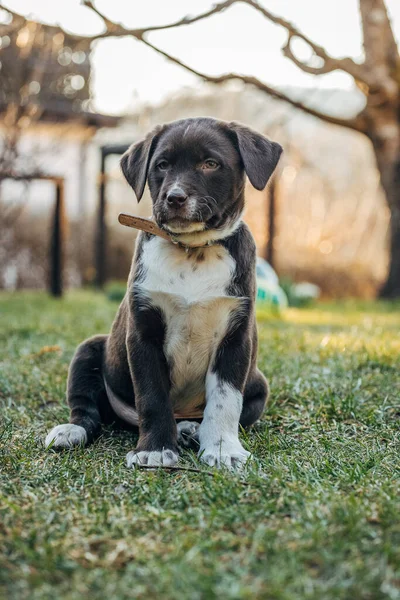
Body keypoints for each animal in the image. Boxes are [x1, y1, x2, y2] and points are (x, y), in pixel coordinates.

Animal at [44, 118, 282, 468]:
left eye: (210, 164)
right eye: (162, 165)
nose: (175, 198)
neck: (193, 251)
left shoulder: (237, 336)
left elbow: (225, 401)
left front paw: (222, 450)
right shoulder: (143, 333)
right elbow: (152, 396)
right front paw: (155, 451)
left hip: (259, 384)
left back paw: (189, 430)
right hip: (89, 350)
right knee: (86, 407)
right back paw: (71, 431)